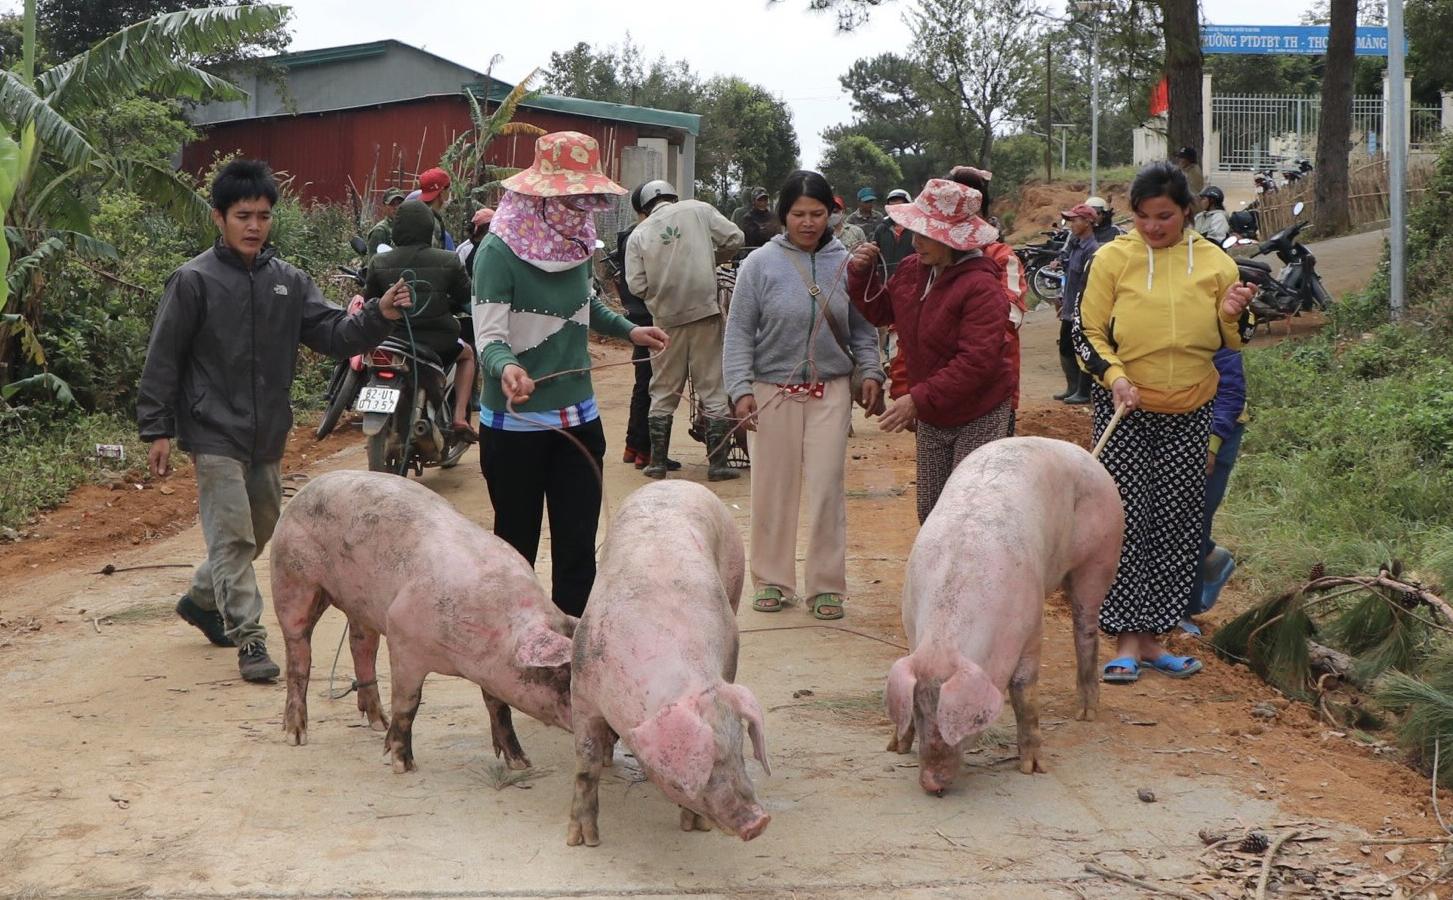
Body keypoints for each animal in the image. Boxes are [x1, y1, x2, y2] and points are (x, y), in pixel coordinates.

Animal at [273, 465, 572, 773]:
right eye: (561, 673)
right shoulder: (402, 636)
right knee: (298, 656)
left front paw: (521, 763)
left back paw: (378, 723)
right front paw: (402, 765)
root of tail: (309, 487)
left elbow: (497, 705)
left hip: (361, 603)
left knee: (361, 647)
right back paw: (295, 735)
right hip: (291, 577)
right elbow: (408, 704)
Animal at [566, 482, 772, 849]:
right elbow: (585, 765)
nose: (759, 821)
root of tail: (678, 483)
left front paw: (695, 827)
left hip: (735, 572)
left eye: (739, 749)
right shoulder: (582, 686)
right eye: (709, 760)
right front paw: (583, 841)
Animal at [883, 436, 1121, 796]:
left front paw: (1032, 768)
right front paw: (895, 747)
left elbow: (1024, 692)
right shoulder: (911, 628)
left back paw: (1086, 713)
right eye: (919, 711)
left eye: (957, 725)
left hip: (1101, 555)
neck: (944, 638)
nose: (930, 783)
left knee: (1086, 628)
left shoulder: (1032, 626)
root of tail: (1083, 453)